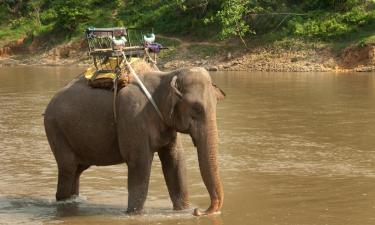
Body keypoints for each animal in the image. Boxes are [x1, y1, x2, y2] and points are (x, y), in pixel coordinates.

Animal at [44, 60, 226, 216]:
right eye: (196, 108)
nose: (198, 211)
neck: (166, 77)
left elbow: (175, 161)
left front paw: (182, 211)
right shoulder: (133, 115)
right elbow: (140, 163)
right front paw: (134, 214)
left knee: (77, 170)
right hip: (55, 129)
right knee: (68, 169)